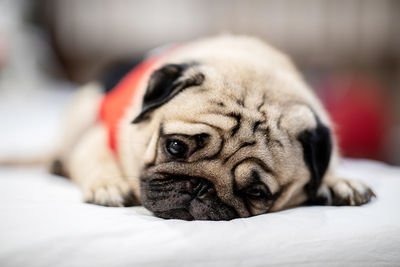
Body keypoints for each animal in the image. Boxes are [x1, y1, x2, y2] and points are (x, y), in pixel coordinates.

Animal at [52, 35, 376, 221]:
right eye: (175, 147)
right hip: (82, 111)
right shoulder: (99, 134)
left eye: (256, 192)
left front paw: (336, 181)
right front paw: (110, 185)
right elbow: (95, 156)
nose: (200, 186)